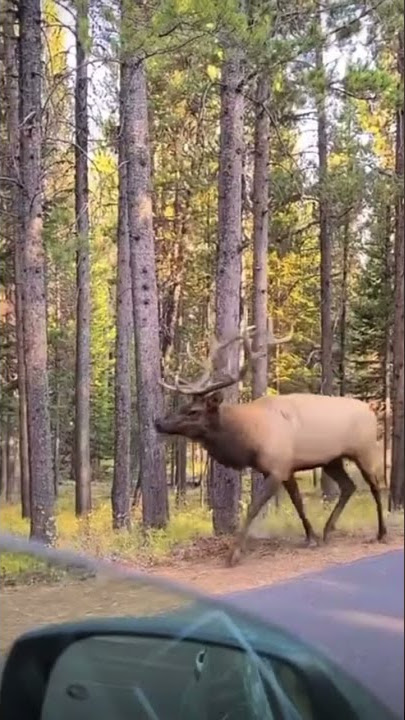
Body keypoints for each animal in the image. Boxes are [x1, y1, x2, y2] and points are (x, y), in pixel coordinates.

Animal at [155, 324, 387, 567]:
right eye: (183, 405)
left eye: (193, 411)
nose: (158, 422)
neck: (249, 440)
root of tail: (371, 410)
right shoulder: (283, 468)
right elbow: (297, 502)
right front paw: (311, 537)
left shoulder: (277, 468)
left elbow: (253, 507)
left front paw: (234, 554)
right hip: (332, 460)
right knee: (349, 486)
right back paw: (327, 530)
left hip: (365, 451)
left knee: (374, 486)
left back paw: (381, 532)